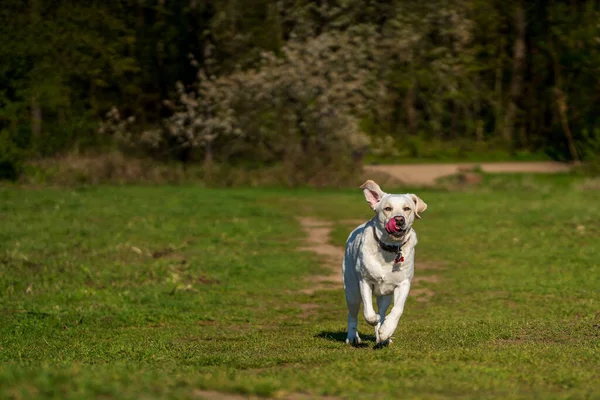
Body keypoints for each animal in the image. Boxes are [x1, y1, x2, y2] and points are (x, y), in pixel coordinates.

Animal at [342, 180, 426, 346]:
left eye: (407, 208)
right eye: (387, 208)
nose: (399, 219)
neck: (389, 249)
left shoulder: (403, 284)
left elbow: (397, 310)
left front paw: (387, 330)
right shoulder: (364, 281)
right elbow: (368, 312)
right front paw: (373, 319)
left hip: (385, 296)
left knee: (382, 311)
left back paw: (382, 337)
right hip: (352, 290)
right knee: (352, 314)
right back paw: (353, 337)